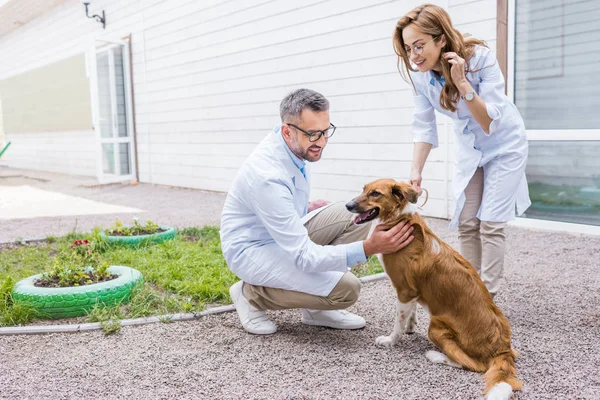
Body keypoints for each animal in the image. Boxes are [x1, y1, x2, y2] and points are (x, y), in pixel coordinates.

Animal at [344, 179, 524, 400]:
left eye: (376, 193)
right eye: (364, 189)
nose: (348, 206)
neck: (399, 218)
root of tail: (501, 347)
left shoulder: (403, 290)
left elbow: (397, 322)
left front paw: (390, 340)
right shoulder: (411, 291)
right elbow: (410, 312)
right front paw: (411, 326)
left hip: (436, 327)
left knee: (472, 364)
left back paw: (435, 355)